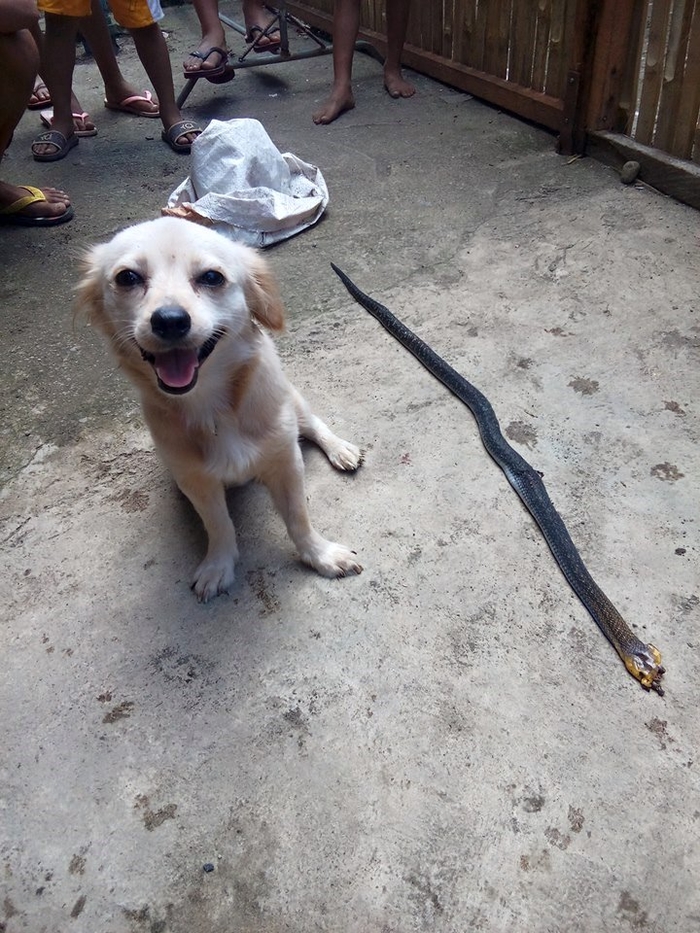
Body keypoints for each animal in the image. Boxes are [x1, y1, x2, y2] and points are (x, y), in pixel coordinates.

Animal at [77, 216, 364, 600]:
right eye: (128, 278)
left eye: (212, 277)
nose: (169, 320)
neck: (212, 406)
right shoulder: (196, 481)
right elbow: (218, 525)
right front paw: (219, 565)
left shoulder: (286, 462)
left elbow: (298, 517)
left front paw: (320, 555)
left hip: (293, 402)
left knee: (314, 424)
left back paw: (340, 449)